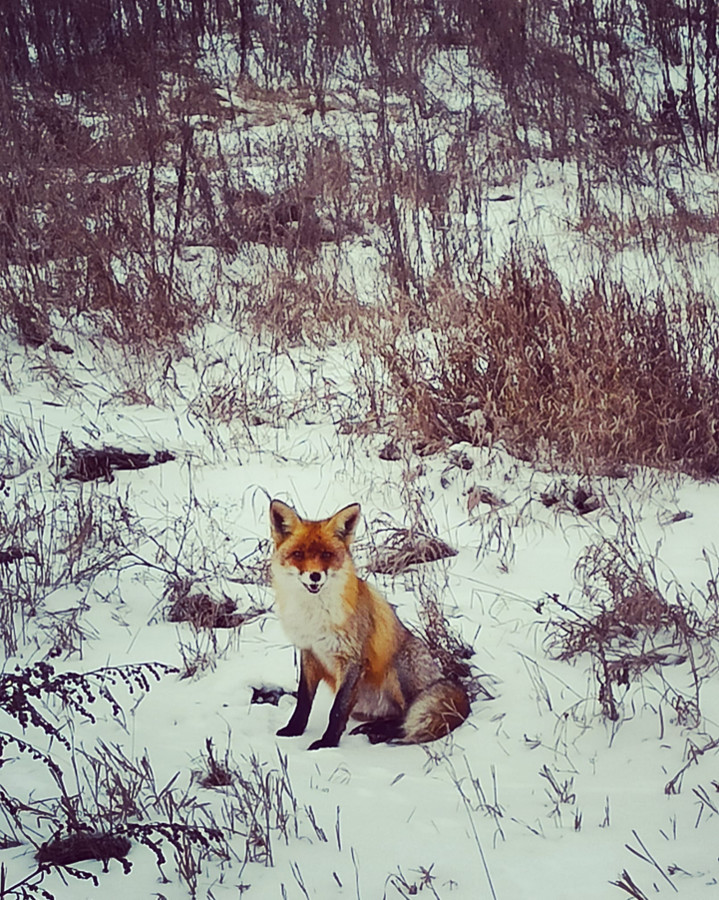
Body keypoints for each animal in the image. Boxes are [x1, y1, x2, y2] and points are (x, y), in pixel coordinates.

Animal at [270, 502, 472, 748]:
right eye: (298, 554)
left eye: (327, 554)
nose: (315, 576)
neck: (315, 617)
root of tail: (445, 679)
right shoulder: (309, 651)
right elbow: (303, 701)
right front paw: (294, 730)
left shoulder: (351, 658)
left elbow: (337, 710)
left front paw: (327, 743)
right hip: (363, 706)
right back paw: (372, 728)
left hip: (398, 669)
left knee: (405, 715)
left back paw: (379, 733)